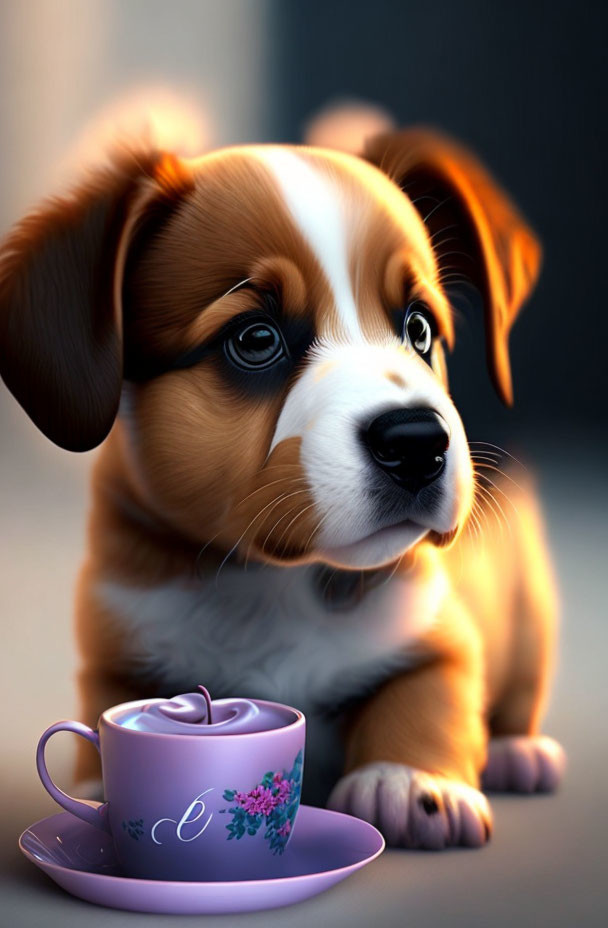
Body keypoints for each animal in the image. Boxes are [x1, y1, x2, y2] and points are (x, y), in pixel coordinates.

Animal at [0, 127, 564, 852]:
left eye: (418, 329)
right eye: (255, 339)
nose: (418, 442)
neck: (269, 583)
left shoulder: (441, 632)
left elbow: (426, 695)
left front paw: (408, 782)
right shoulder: (115, 647)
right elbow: (108, 721)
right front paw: (102, 795)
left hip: (529, 616)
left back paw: (520, 753)